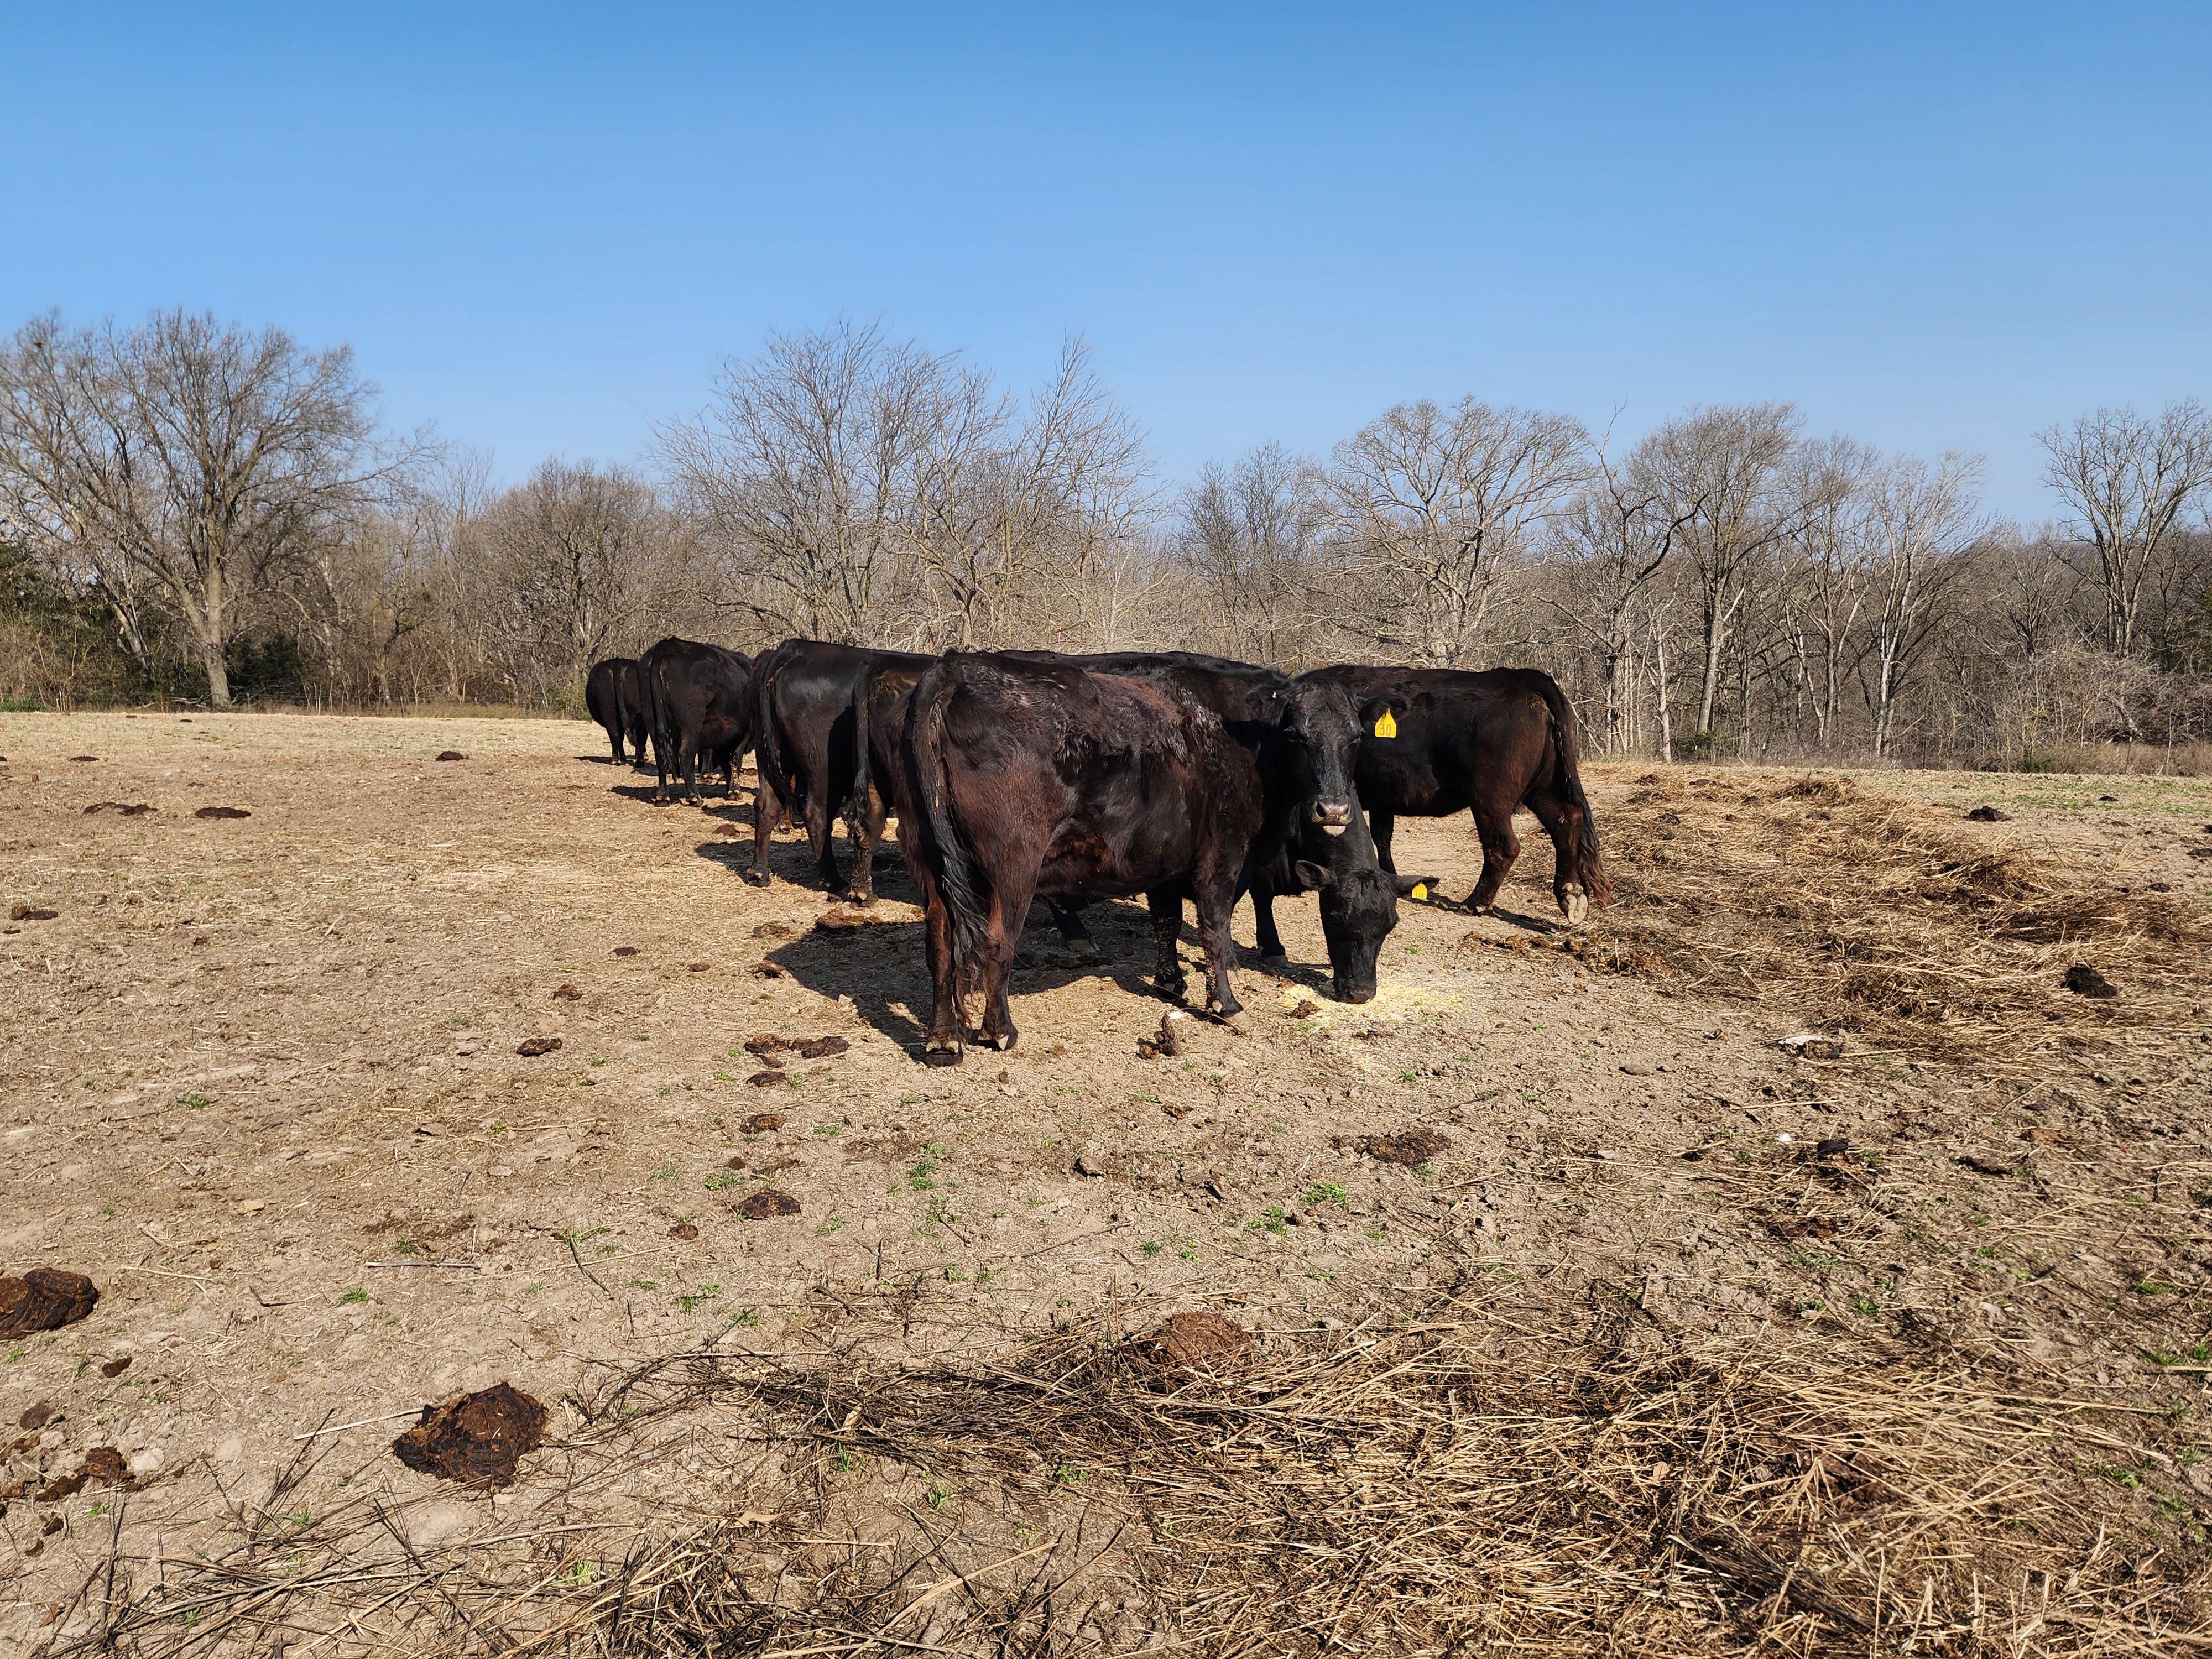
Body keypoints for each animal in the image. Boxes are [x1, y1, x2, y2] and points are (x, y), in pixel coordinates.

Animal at [637, 641, 757, 810]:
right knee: (686, 755)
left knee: (660, 756)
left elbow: (725, 763)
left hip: (652, 720)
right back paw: (695, 797)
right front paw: (734, 791)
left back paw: (663, 797)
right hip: (692, 727)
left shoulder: (721, 737)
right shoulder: (747, 731)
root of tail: (668, 644)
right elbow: (735, 759)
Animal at [752, 637, 933, 902]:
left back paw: (759, 873)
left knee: (767, 805)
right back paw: (834, 881)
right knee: (817, 814)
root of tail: (796, 647)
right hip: (824, 767)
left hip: (769, 753)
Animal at [1292, 668, 1610, 925]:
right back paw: (1571, 894)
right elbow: (1382, 837)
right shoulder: (1384, 799)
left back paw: (1476, 903)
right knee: (1566, 819)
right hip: (1542, 786)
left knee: (1504, 846)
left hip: (1490, 798)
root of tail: (1520, 678)